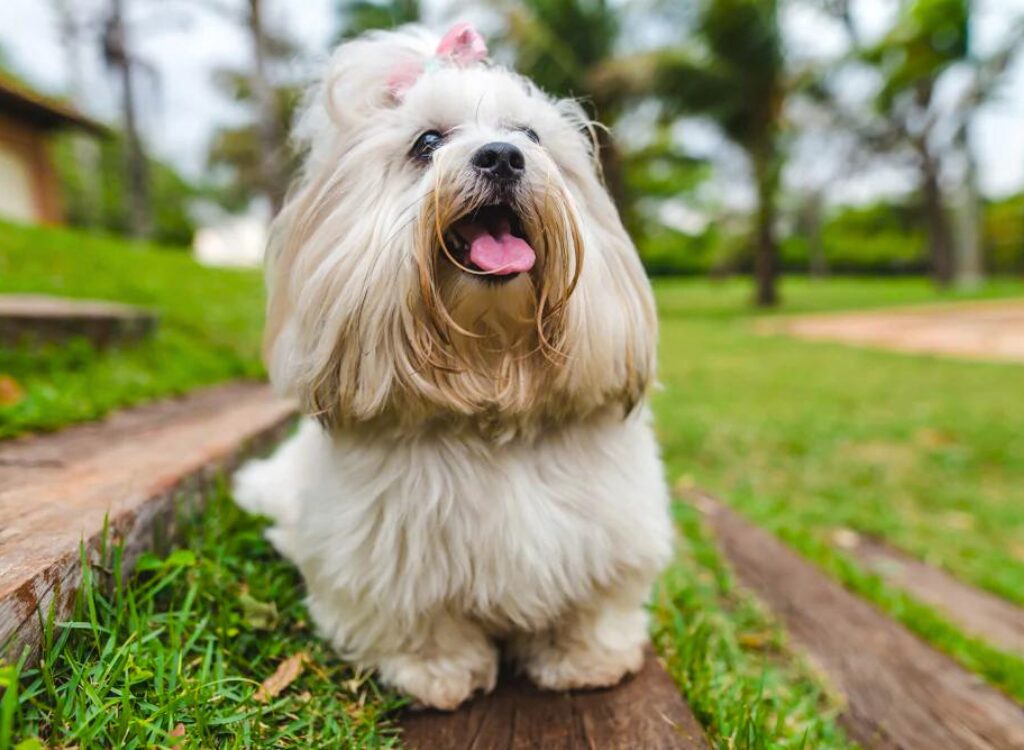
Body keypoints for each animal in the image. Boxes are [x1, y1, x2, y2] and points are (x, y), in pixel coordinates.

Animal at [234, 23, 675, 713]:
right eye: (427, 143)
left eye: (530, 137)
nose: (501, 156)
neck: (491, 383)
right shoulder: (387, 561)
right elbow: (417, 623)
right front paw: (438, 673)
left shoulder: (606, 535)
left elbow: (592, 606)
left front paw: (586, 660)